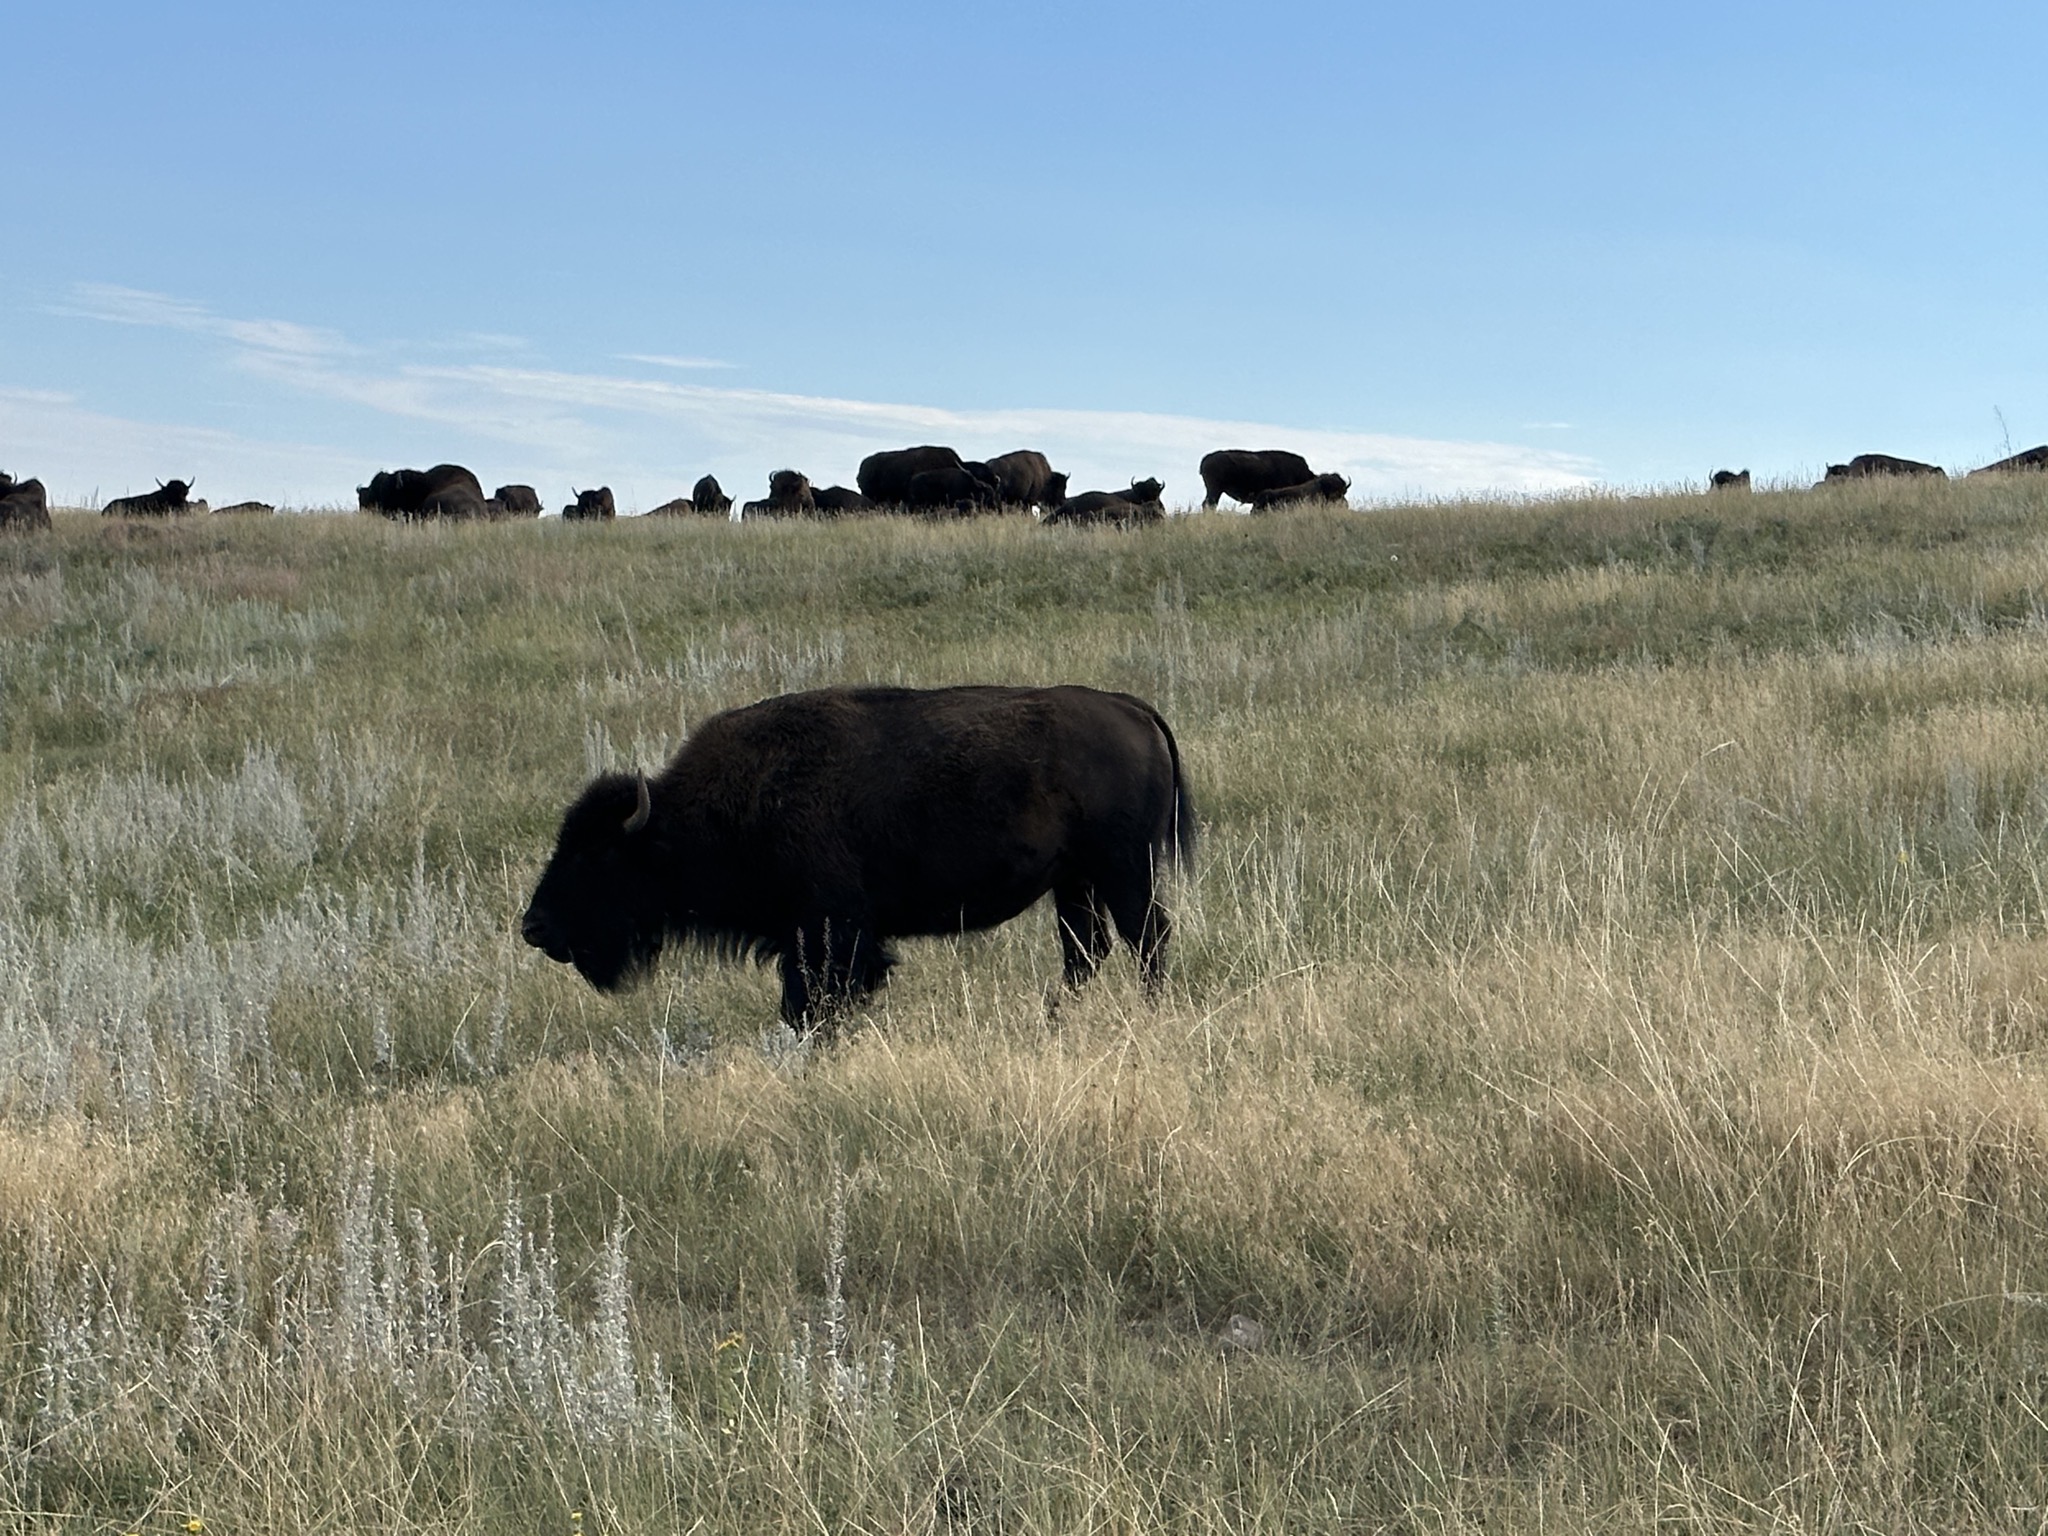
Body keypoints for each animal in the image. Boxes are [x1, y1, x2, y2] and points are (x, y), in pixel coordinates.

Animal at [521, 684, 1194, 1029]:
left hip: (1124, 870)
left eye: (596, 856)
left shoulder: (828, 930)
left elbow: (813, 999)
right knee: (1088, 951)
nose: (534, 927)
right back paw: (1052, 1019)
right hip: (1075, 882)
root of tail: (1132, 708)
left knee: (1146, 939)